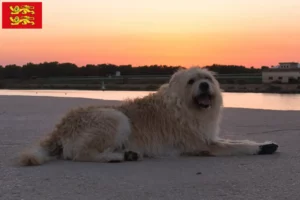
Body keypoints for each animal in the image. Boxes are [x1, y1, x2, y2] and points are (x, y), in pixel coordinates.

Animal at [18, 67, 278, 166]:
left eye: (207, 79)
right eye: (192, 81)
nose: (205, 86)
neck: (184, 106)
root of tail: (60, 128)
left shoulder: (207, 136)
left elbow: (236, 140)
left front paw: (265, 143)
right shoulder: (203, 144)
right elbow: (238, 146)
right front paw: (259, 148)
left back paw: (126, 154)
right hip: (115, 117)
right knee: (79, 154)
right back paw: (118, 157)